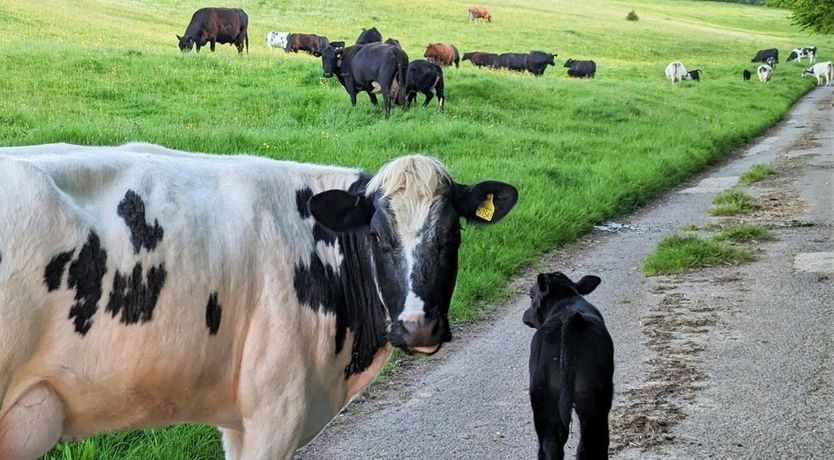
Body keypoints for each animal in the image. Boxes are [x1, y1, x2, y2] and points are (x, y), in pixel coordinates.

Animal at [524, 274, 616, 460]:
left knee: (551, 445)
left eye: (531, 295)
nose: (525, 315)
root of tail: (571, 317)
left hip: (544, 399)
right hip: (592, 400)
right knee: (591, 442)